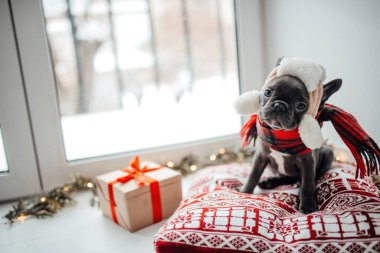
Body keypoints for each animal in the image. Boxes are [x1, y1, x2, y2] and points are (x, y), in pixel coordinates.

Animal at [240, 68, 342, 212]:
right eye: (267, 92)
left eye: (301, 106)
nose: (279, 105)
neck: (281, 134)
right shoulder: (261, 156)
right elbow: (253, 174)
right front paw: (245, 191)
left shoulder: (308, 162)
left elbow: (307, 183)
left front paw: (308, 205)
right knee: (286, 178)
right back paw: (269, 182)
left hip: (328, 153)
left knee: (309, 178)